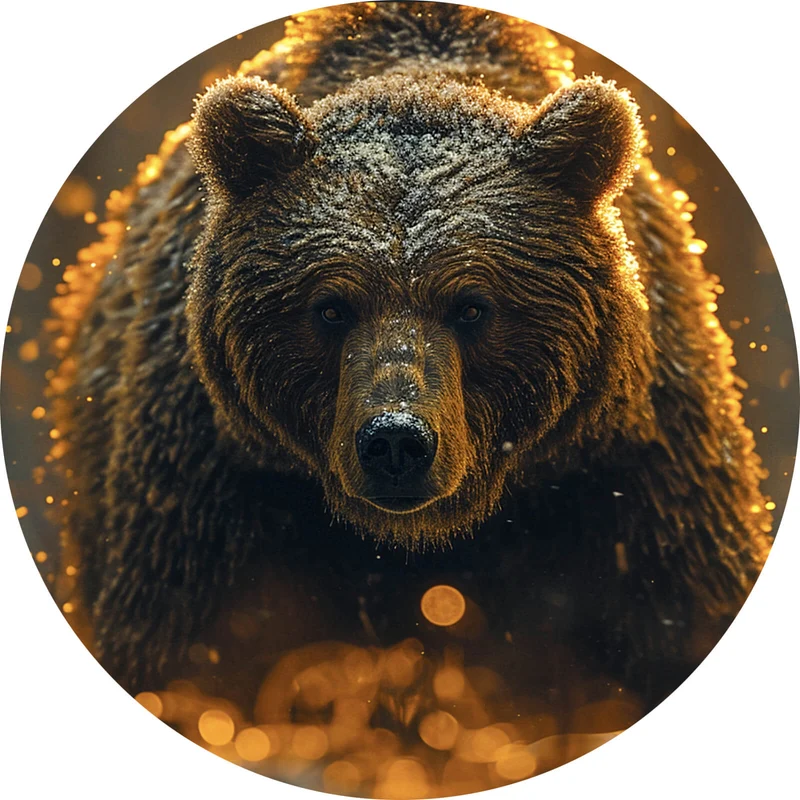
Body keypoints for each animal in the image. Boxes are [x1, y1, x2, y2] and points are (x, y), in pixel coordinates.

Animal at [49, 1, 772, 732]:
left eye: (473, 306)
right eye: (331, 307)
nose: (395, 440)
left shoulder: (626, 473)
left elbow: (673, 614)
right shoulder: (210, 484)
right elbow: (199, 650)